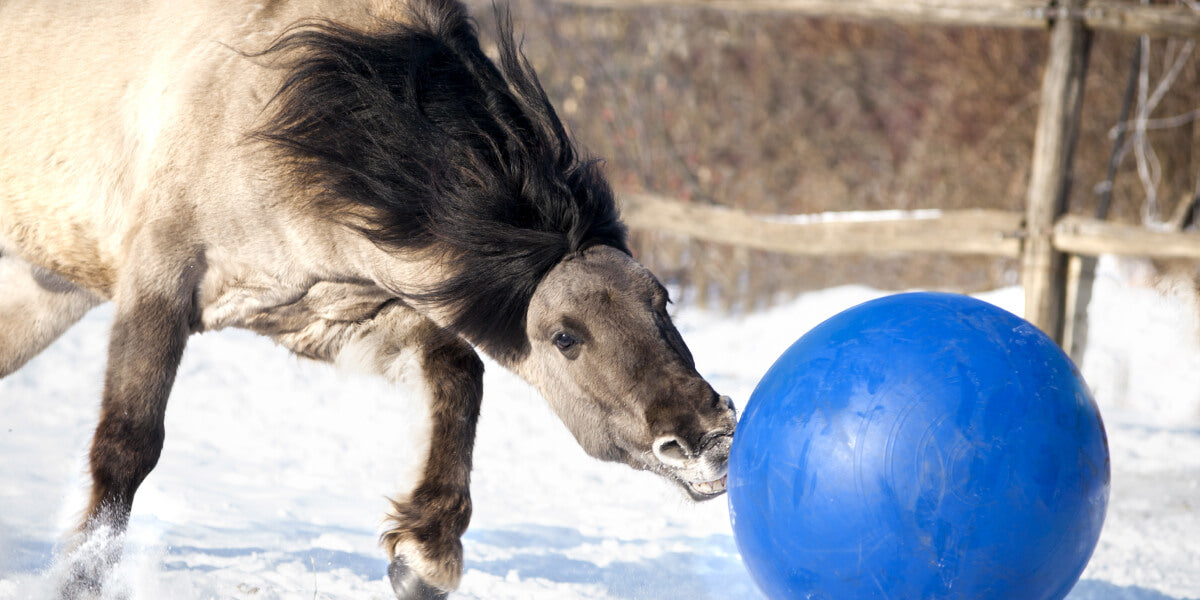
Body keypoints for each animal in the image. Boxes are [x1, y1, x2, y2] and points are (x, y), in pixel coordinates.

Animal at [0, 0, 739, 597]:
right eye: (566, 337)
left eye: (663, 302)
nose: (708, 439)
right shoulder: (158, 281)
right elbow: (128, 444)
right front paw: (80, 579)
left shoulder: (324, 313)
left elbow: (458, 372)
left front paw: (425, 555)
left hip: (47, 291)